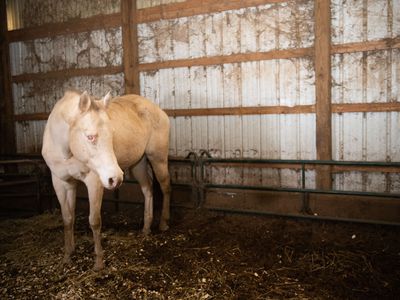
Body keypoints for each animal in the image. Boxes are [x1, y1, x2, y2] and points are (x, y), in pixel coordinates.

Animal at [42, 89, 170, 270]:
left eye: (112, 135)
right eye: (90, 137)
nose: (115, 178)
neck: (65, 149)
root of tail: (158, 110)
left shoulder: (94, 182)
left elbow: (94, 220)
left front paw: (99, 263)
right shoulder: (62, 183)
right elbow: (68, 218)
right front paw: (68, 255)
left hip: (158, 158)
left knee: (165, 187)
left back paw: (163, 223)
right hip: (138, 163)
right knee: (148, 189)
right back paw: (146, 228)